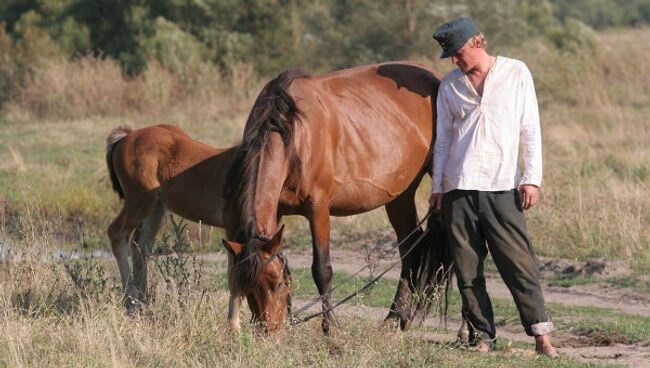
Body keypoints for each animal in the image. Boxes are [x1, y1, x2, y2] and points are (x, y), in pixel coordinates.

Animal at [105, 124, 290, 330]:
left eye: (282, 282)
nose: (271, 327)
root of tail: (126, 137)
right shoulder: (232, 230)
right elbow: (233, 273)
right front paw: (234, 327)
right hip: (139, 202)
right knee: (117, 234)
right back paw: (131, 302)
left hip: (156, 207)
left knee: (140, 247)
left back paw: (143, 304)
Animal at [223, 61, 450, 332]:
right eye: (249, 289)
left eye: (277, 283)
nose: (269, 330)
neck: (293, 132)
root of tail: (436, 78)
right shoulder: (276, 210)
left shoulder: (318, 208)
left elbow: (322, 269)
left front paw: (330, 328)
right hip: (400, 194)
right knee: (410, 246)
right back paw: (396, 317)